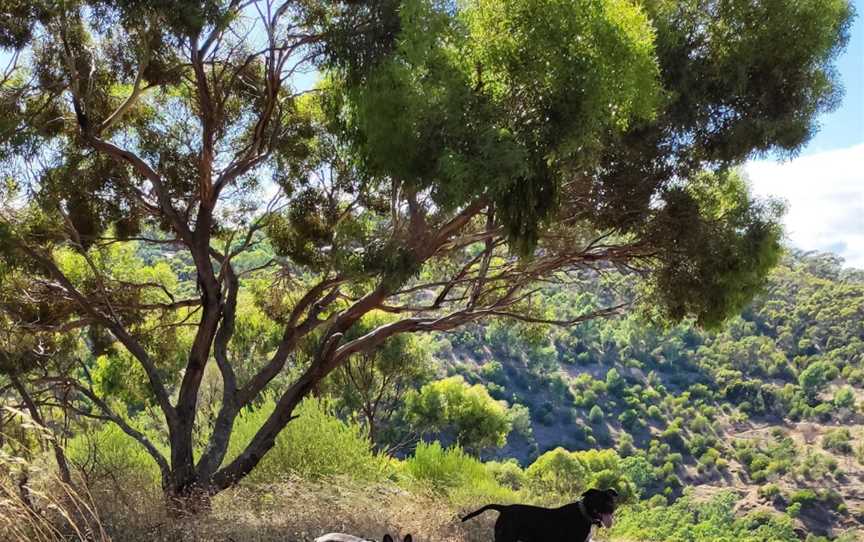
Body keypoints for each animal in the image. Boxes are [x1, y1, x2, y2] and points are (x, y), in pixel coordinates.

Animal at [462, 488, 616, 542]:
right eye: (599, 499)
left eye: (611, 499)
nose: (611, 507)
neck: (584, 514)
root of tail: (504, 508)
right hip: (506, 538)